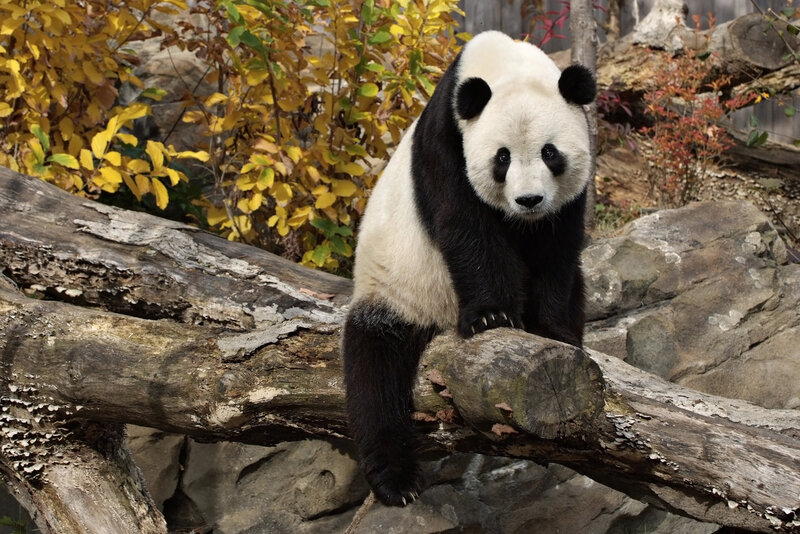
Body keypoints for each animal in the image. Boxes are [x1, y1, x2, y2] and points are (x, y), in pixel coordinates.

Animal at [342, 30, 595, 507]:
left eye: (550, 153)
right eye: (502, 158)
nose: (529, 200)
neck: (501, 63)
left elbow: (558, 248)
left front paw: (554, 330)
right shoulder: (446, 144)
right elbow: (466, 227)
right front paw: (492, 317)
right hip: (396, 287)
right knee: (374, 373)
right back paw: (397, 481)